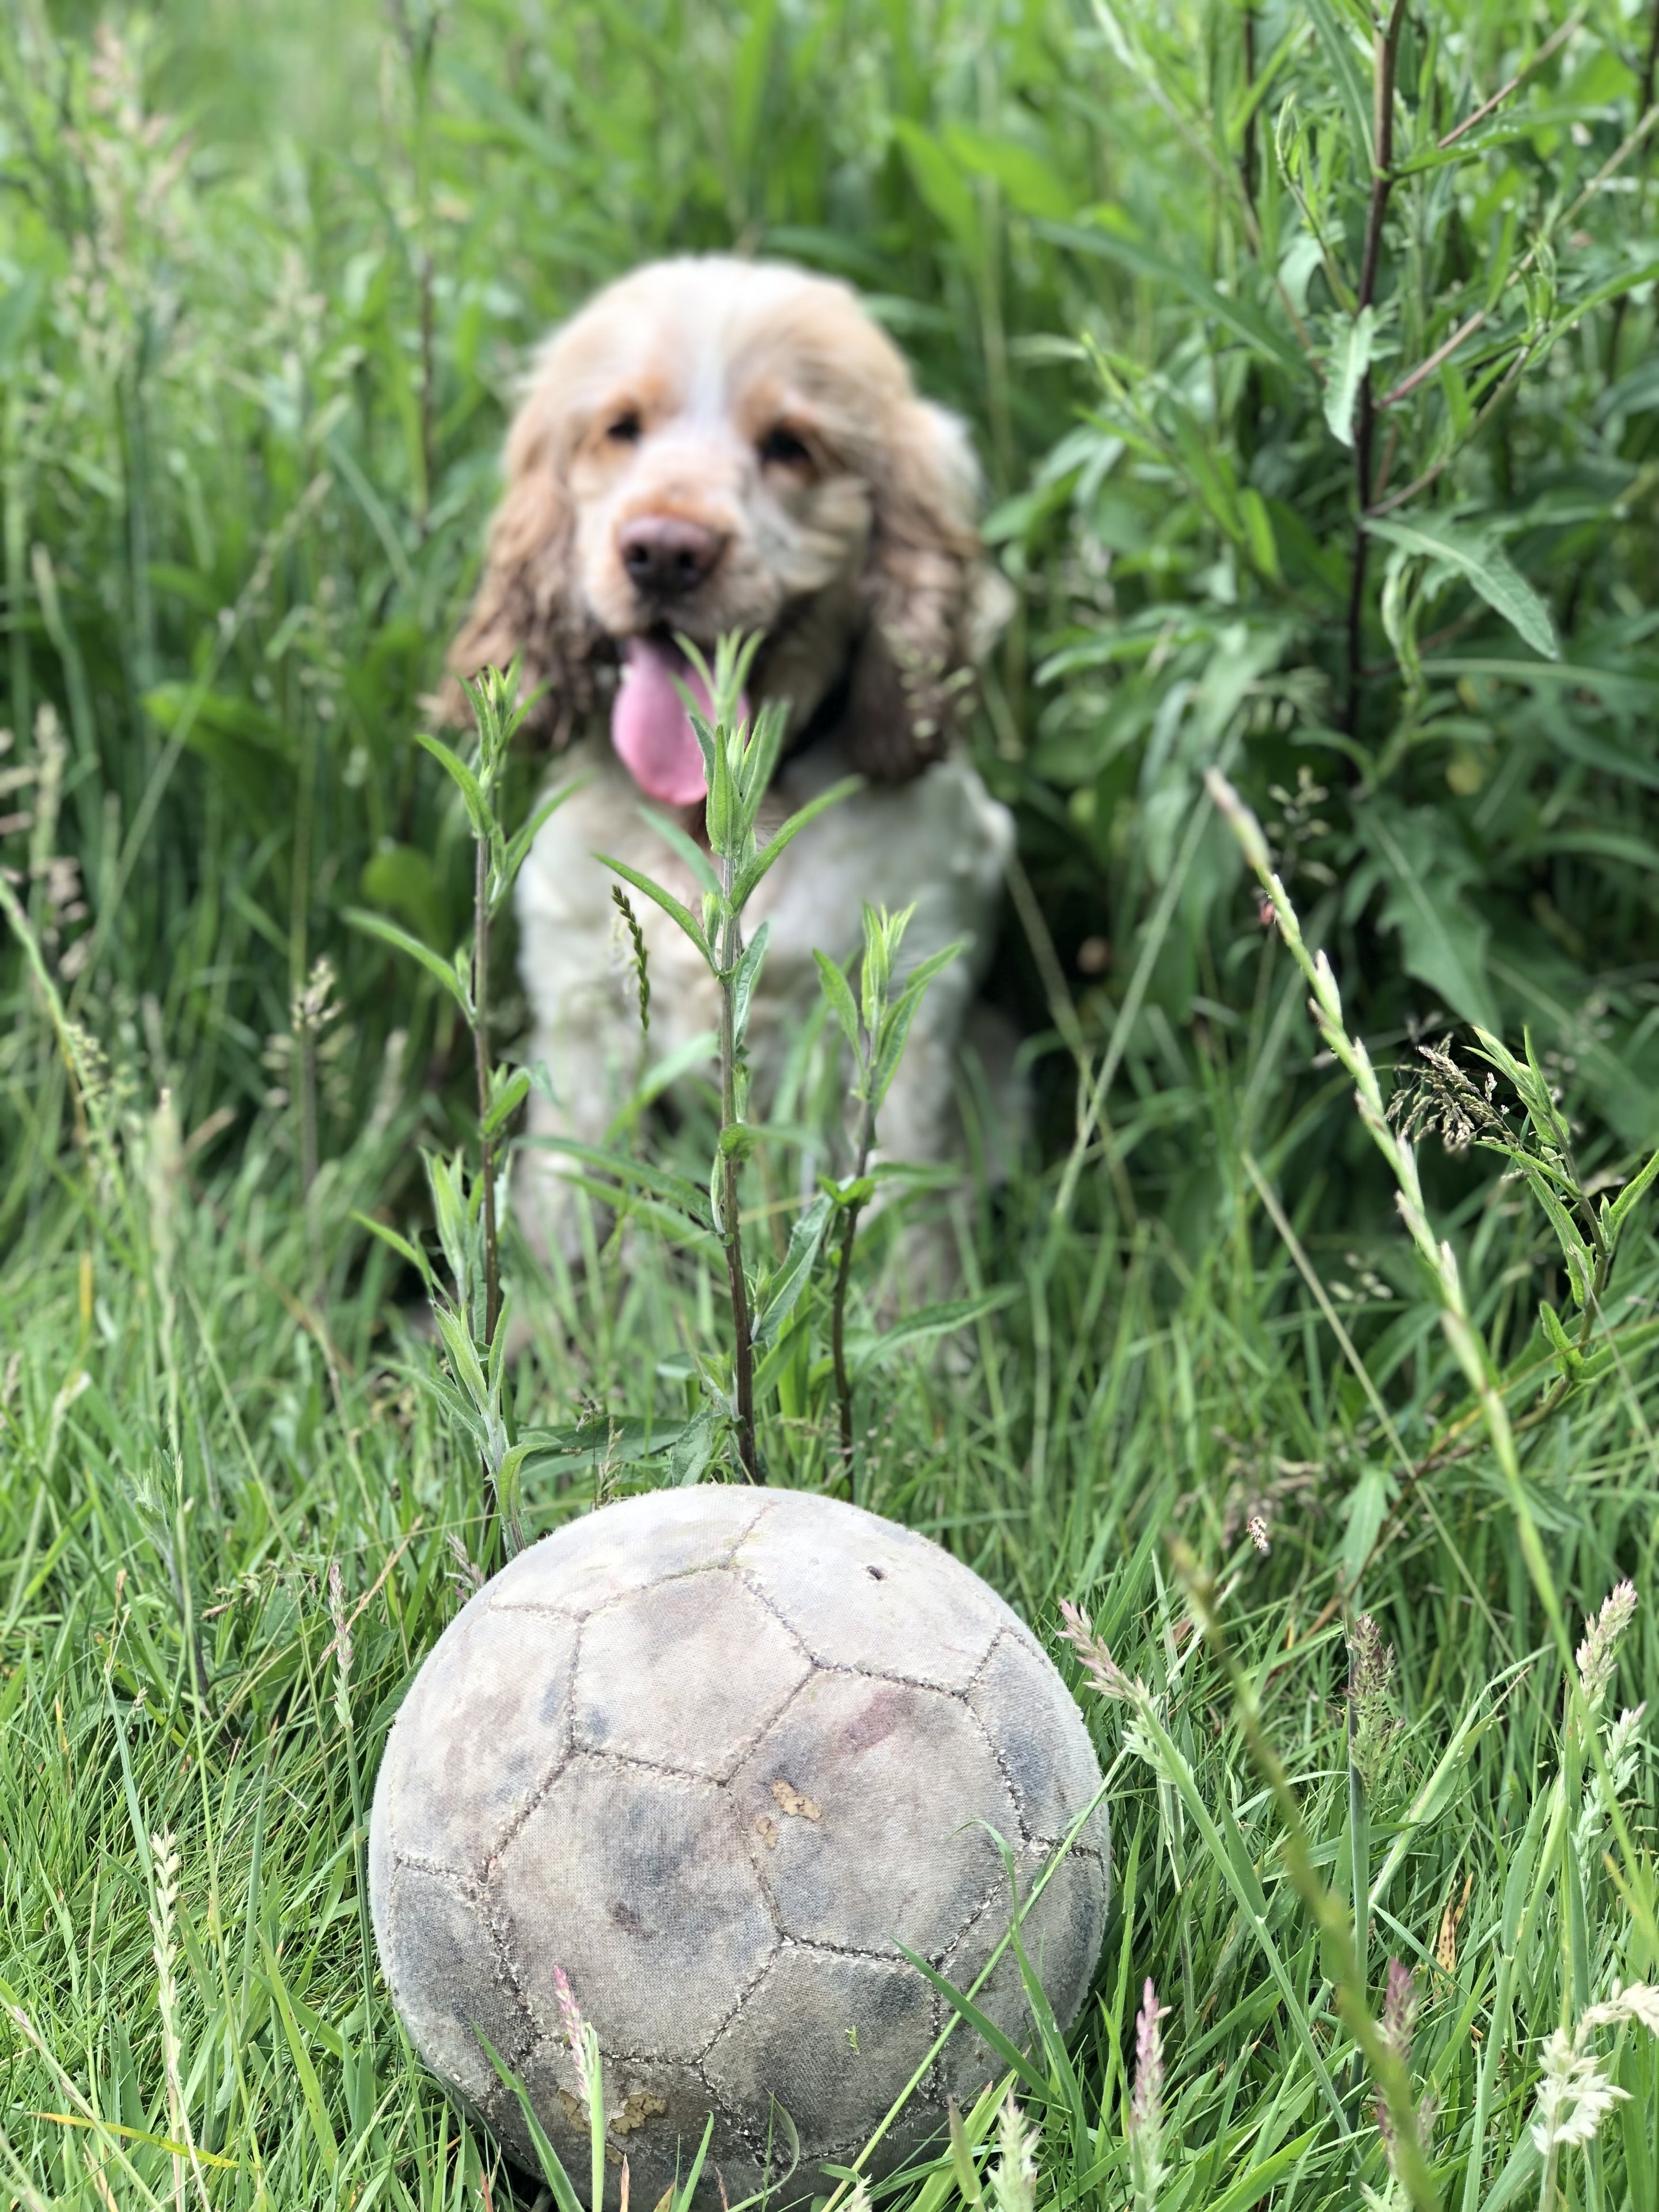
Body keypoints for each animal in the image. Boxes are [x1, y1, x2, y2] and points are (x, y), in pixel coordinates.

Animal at [451, 256, 1013, 1265]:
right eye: (621, 428)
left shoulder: (910, 1000)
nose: (664, 551)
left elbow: (893, 1212)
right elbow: (562, 1205)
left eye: (792, 445)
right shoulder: (581, 1001)